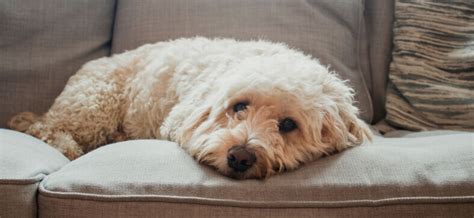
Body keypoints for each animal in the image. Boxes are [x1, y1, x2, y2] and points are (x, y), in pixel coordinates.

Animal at [6, 37, 370, 180]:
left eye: (288, 125)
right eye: (239, 106)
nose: (240, 157)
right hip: (94, 103)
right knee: (46, 128)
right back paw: (66, 145)